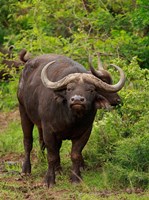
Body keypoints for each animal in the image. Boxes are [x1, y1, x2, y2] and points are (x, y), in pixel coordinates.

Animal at [17, 52, 125, 186]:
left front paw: (76, 177)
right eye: (69, 89)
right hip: (23, 111)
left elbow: (75, 154)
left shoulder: (85, 132)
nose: (77, 100)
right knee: (28, 141)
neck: (71, 118)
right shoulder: (49, 130)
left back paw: (58, 169)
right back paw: (26, 170)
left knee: (46, 144)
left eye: (91, 89)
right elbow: (51, 155)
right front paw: (49, 180)